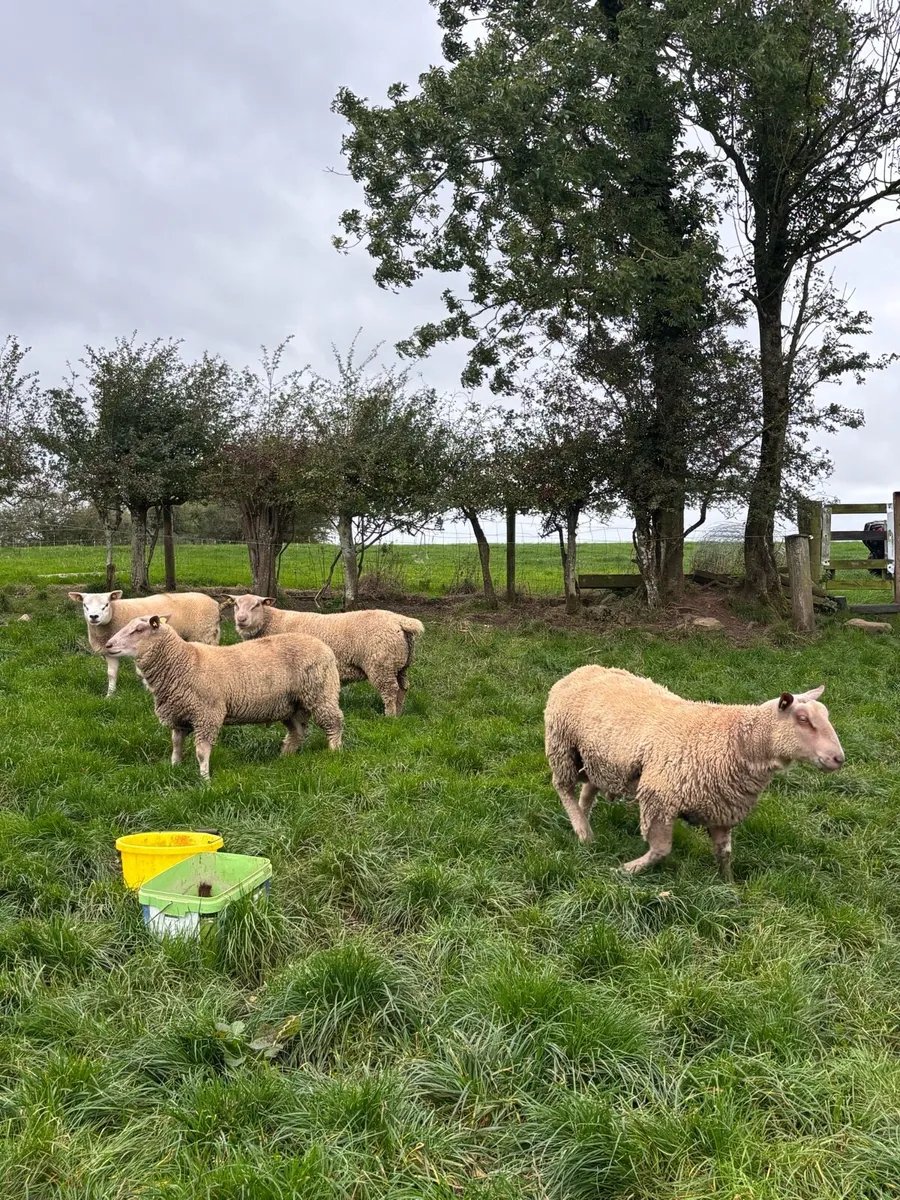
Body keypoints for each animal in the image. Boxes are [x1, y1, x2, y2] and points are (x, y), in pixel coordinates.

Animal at [67, 589, 220, 697]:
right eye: (85, 605)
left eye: (106, 605)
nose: (94, 617)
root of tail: (214, 603)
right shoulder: (110, 652)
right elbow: (111, 674)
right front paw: (110, 695)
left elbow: (141, 673)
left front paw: (149, 693)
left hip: (205, 634)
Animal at [103, 615, 344, 779]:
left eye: (138, 629)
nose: (108, 645)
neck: (184, 662)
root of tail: (324, 647)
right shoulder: (179, 716)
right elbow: (176, 745)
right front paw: (174, 768)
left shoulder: (207, 714)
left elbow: (201, 751)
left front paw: (205, 779)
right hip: (292, 704)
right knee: (297, 732)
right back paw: (284, 757)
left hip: (321, 692)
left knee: (334, 722)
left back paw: (334, 751)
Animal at [225, 594, 425, 717]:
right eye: (236, 605)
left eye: (257, 605)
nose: (241, 619)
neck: (271, 622)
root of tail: (400, 621)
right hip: (399, 664)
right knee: (402, 688)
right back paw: (399, 713)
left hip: (381, 664)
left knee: (390, 690)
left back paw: (389, 716)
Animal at [544, 666, 845, 880]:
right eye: (803, 720)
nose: (838, 758)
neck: (736, 740)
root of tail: (584, 668)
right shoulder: (659, 798)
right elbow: (661, 850)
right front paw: (628, 869)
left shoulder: (722, 807)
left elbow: (724, 853)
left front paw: (728, 884)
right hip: (562, 747)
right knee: (563, 787)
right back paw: (583, 831)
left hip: (599, 761)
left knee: (587, 791)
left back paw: (584, 824)